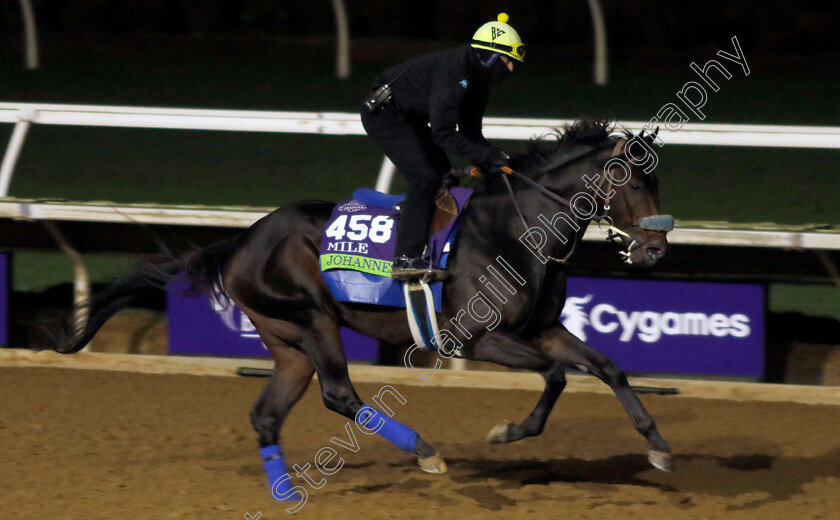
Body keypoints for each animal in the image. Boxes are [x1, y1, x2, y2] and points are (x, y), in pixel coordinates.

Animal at [52, 119, 672, 500]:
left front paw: (660, 448)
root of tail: (240, 241)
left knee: (268, 413)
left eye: (657, 180)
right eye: (633, 182)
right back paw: (425, 452)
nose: (656, 249)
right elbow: (557, 375)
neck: (518, 230)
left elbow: (606, 368)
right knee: (338, 394)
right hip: (312, 318)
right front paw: (506, 432)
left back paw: (285, 490)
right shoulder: (478, 337)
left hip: (287, 341)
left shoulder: (541, 328)